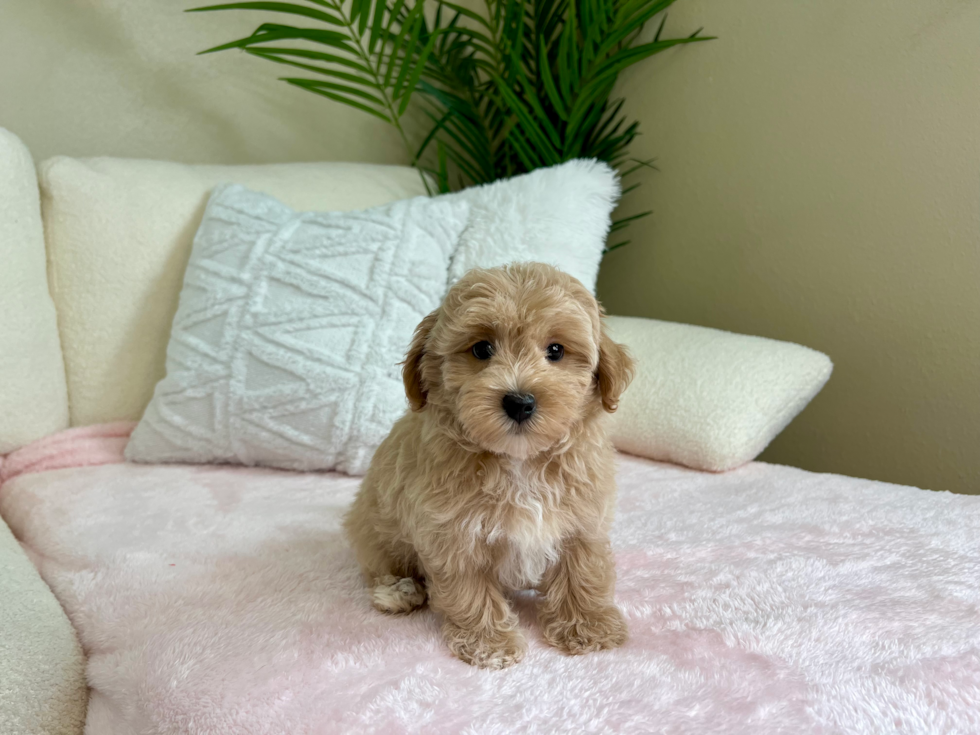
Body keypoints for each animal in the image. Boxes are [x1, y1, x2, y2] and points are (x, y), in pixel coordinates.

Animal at [344, 262, 636, 668]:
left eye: (556, 350)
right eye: (481, 349)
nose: (519, 402)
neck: (519, 460)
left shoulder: (582, 519)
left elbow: (582, 571)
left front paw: (589, 627)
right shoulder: (453, 534)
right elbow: (470, 591)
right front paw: (489, 644)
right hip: (374, 528)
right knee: (379, 565)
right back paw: (399, 592)